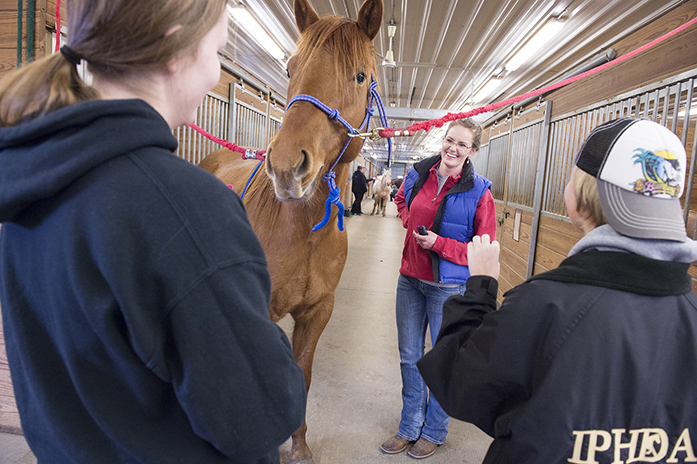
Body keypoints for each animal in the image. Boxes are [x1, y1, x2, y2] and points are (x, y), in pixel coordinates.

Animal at [196, 1, 384, 462]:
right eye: (289, 69)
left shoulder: (318, 311)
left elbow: (302, 374)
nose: (285, 166)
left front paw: (298, 447)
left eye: (360, 76)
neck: (302, 232)